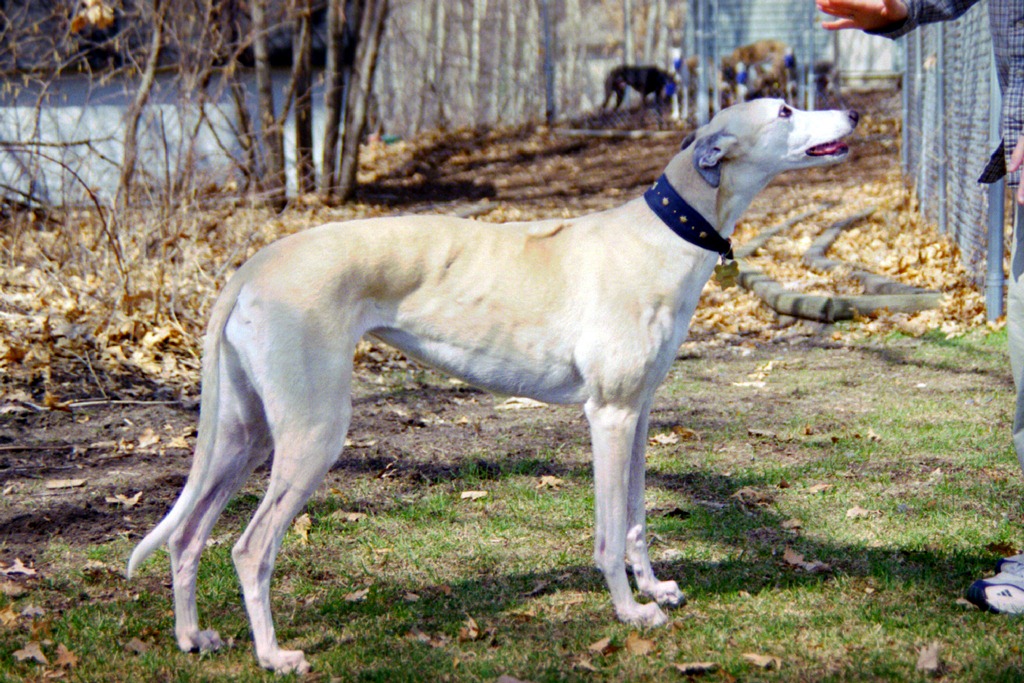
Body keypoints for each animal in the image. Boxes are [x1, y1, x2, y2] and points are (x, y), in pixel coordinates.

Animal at [127, 99, 858, 674]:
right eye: (785, 109)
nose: (853, 115)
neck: (663, 232)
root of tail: (256, 262)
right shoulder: (608, 415)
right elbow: (607, 531)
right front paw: (629, 611)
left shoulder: (639, 413)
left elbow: (636, 519)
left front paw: (656, 590)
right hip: (313, 432)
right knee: (249, 547)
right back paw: (274, 654)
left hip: (243, 432)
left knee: (187, 535)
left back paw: (193, 636)